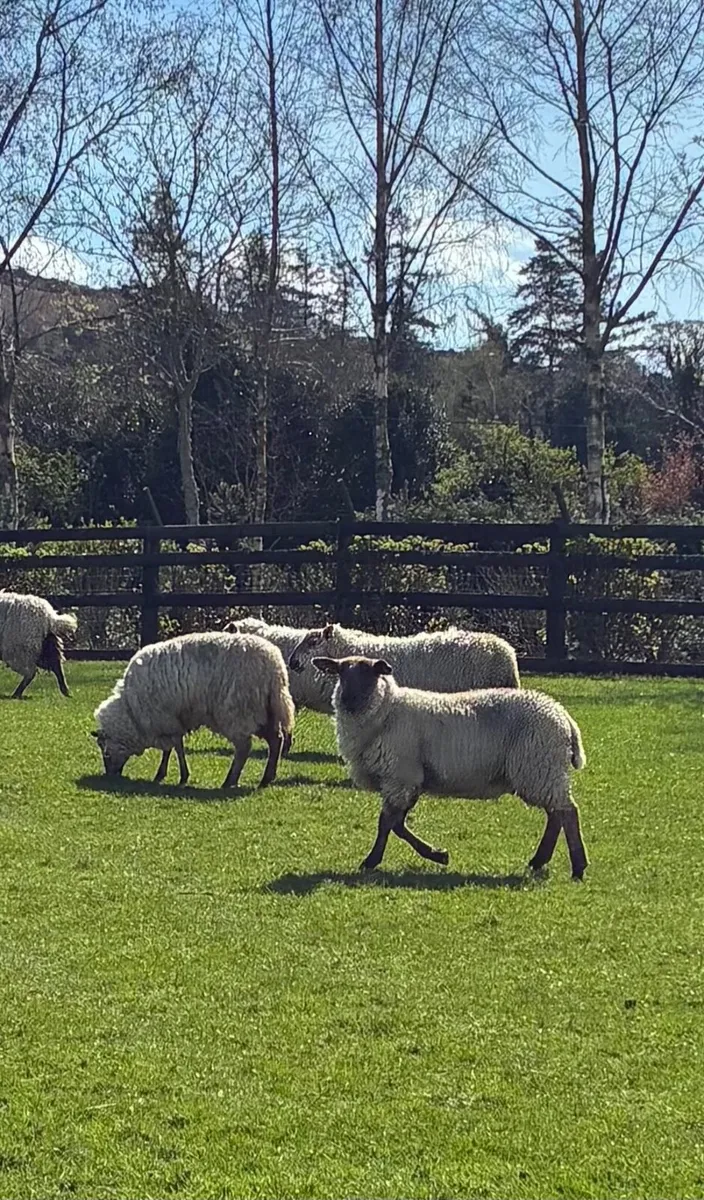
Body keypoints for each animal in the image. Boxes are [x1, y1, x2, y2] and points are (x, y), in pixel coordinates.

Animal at [92, 631, 295, 789]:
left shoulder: (165, 719)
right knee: (276, 740)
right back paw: (266, 779)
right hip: (264, 711)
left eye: (105, 751)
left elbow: (175, 747)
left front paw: (178, 776)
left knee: (244, 748)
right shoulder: (172, 720)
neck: (131, 710)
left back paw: (230, 781)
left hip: (238, 711)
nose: (110, 776)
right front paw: (165, 774)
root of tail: (275, 669)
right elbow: (172, 748)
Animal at [312, 655, 588, 880]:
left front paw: (372, 861)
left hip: (538, 767)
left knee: (567, 812)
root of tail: (562, 716)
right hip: (543, 771)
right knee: (556, 814)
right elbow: (397, 825)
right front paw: (438, 854)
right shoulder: (409, 781)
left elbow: (387, 823)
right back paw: (539, 861)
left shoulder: (401, 777)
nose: (348, 700)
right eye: (340, 673)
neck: (386, 710)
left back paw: (578, 867)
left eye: (369, 674)